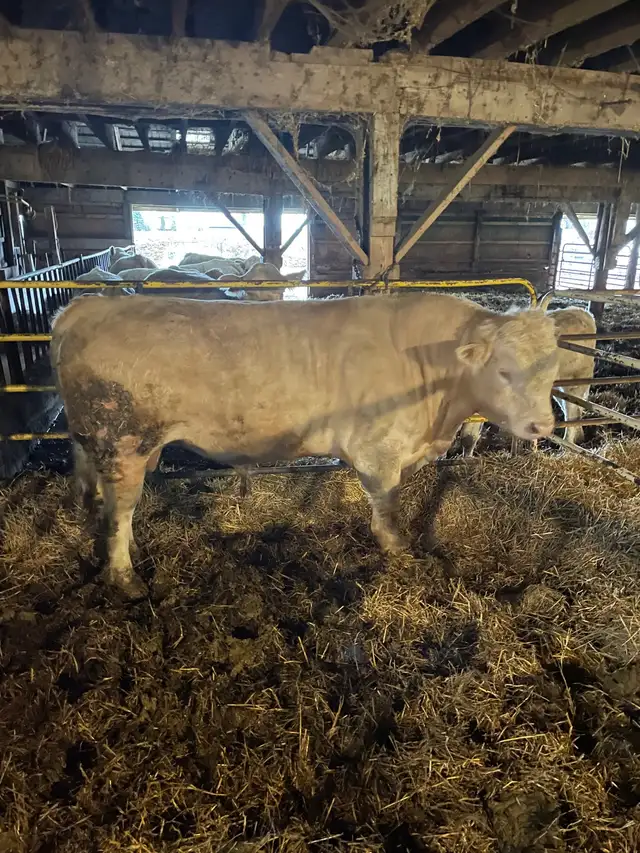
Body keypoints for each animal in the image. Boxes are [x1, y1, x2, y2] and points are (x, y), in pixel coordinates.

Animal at [51, 292, 559, 599]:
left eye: (552, 372)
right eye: (504, 371)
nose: (544, 425)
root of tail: (88, 305)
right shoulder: (377, 450)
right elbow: (387, 505)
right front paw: (396, 549)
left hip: (101, 444)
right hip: (123, 441)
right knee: (120, 509)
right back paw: (124, 576)